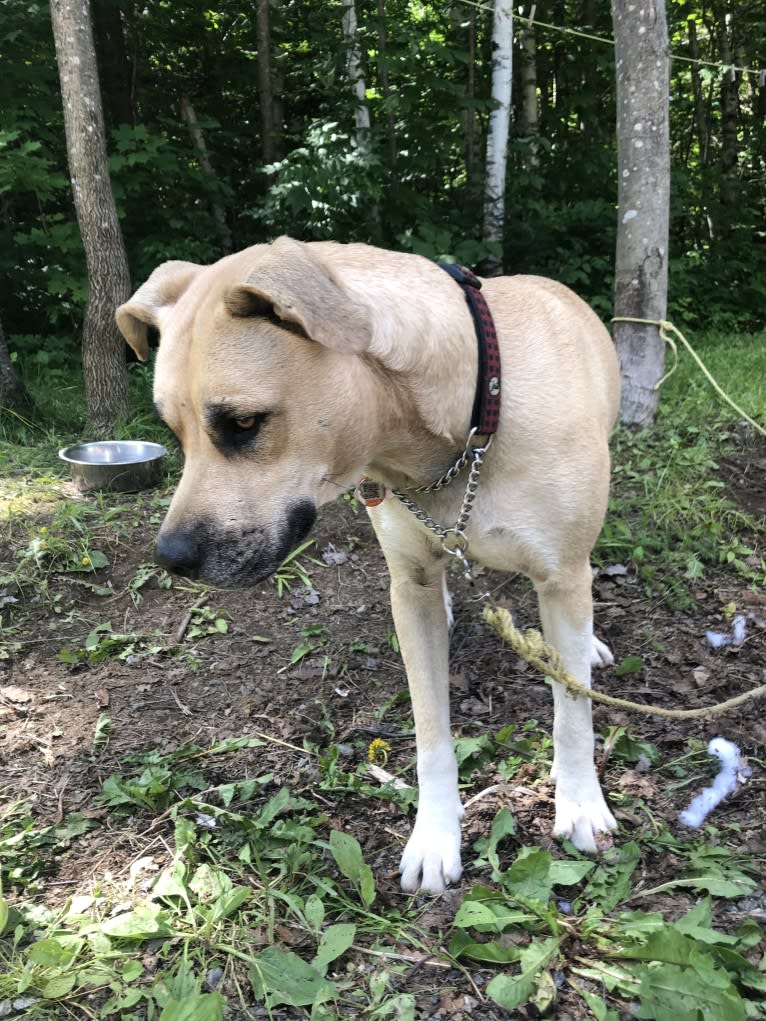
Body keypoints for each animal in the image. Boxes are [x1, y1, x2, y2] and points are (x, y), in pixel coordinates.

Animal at [120, 238, 625, 894]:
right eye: (173, 431)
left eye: (243, 423)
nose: (171, 558)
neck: (466, 419)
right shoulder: (410, 582)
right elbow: (432, 733)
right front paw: (435, 836)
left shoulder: (561, 577)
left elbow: (573, 713)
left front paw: (581, 803)